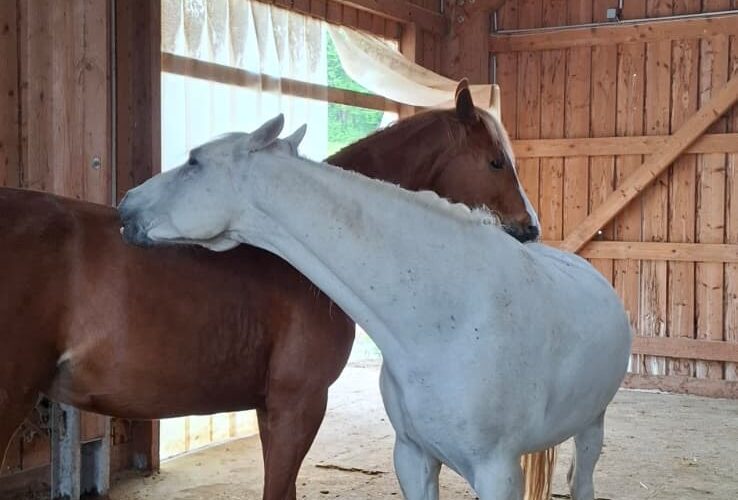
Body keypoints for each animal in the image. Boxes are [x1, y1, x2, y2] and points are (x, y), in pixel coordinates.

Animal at [119, 113, 632, 500]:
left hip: (592, 428)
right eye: (495, 162)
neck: (446, 318)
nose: (126, 204)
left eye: (194, 162)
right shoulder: (413, 457)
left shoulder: (496, 471)